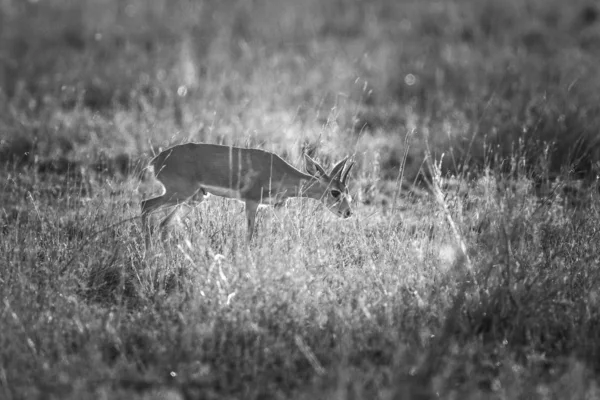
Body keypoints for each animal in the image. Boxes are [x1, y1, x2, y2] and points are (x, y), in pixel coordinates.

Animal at [141, 142, 354, 245]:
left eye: (348, 192)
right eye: (335, 192)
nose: (348, 213)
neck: (278, 171)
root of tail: (157, 159)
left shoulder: (279, 205)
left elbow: (293, 231)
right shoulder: (251, 201)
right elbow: (250, 233)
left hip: (194, 198)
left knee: (164, 224)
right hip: (179, 193)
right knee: (146, 205)